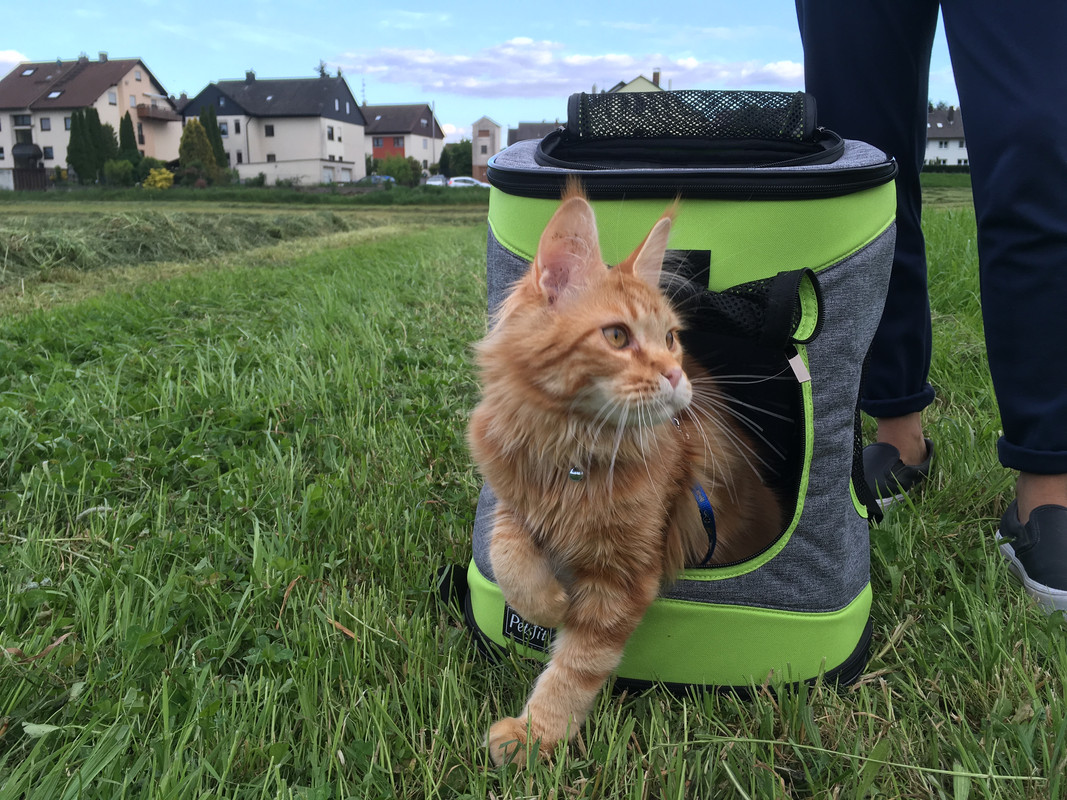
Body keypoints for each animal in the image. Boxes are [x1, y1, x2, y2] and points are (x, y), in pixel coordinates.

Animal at [467, 184, 785, 768]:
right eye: (617, 336)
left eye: (672, 338)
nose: (676, 373)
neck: (573, 448)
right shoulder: (513, 498)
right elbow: (508, 555)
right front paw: (547, 602)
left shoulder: (623, 577)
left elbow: (574, 667)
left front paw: (534, 736)